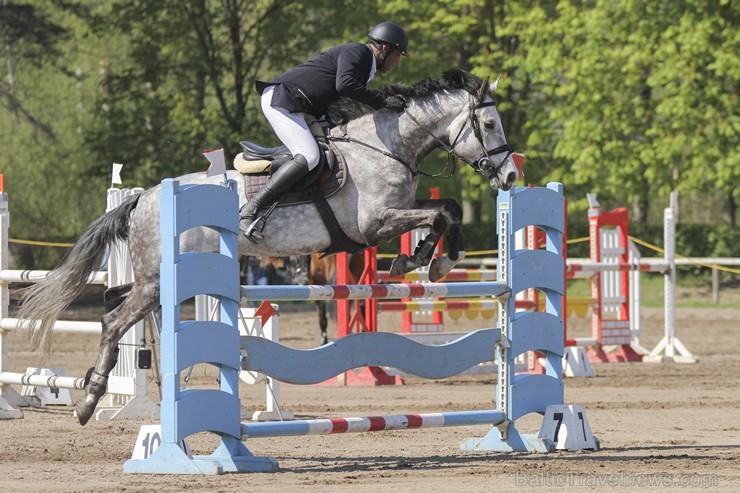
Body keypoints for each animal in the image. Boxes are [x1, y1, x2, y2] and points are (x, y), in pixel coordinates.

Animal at [15, 68, 516, 422]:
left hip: (157, 279)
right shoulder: (373, 227)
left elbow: (448, 207)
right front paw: (424, 259)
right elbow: (439, 214)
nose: (511, 176)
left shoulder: (388, 220)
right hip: (156, 281)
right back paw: (89, 400)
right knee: (113, 321)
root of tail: (145, 197)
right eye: (489, 123)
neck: (385, 147)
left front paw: (436, 259)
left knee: (114, 304)